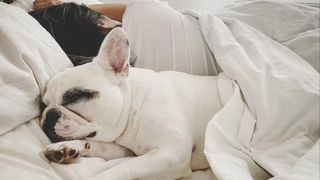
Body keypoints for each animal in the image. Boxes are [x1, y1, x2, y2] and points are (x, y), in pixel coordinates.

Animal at [41, 27, 224, 179]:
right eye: (43, 105)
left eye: (74, 97)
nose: (48, 117)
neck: (134, 107)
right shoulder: (126, 149)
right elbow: (100, 146)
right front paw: (66, 148)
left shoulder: (172, 154)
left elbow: (124, 168)